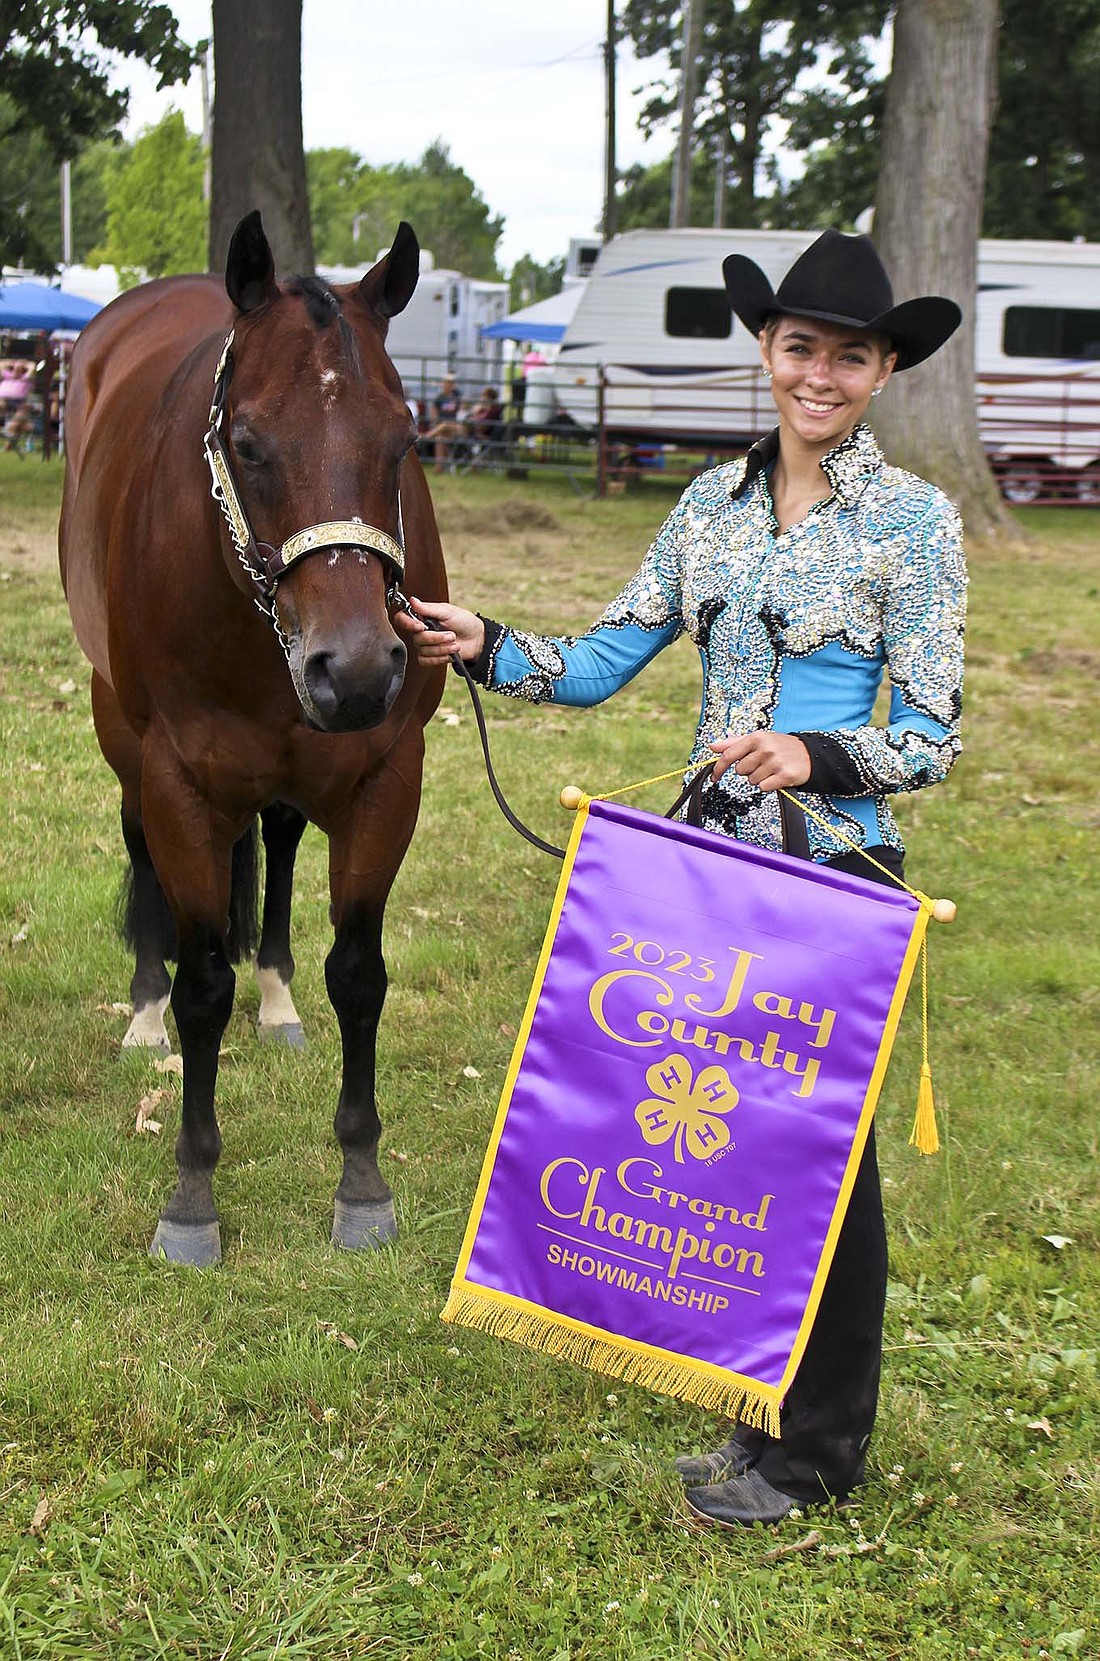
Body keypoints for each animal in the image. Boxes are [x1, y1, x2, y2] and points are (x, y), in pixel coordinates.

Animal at [59, 214, 448, 1262]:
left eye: (405, 438)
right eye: (247, 442)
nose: (358, 670)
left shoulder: (386, 778)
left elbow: (359, 974)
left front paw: (362, 1179)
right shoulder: (179, 781)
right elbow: (201, 983)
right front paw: (192, 1193)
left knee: (275, 842)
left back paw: (275, 998)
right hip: (121, 732)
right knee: (138, 849)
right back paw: (142, 1015)